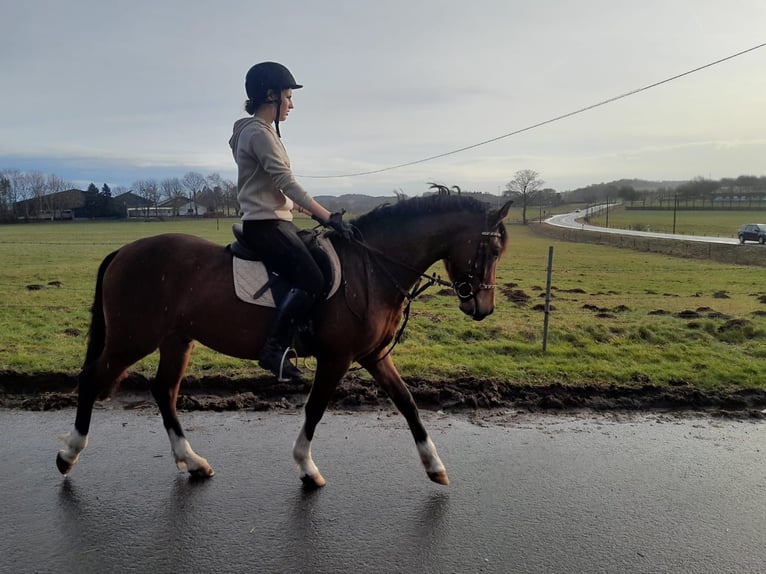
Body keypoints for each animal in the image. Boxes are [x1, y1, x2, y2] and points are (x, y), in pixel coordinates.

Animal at [57, 196, 512, 488]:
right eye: (491, 249)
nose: (483, 307)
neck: (370, 266)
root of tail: (123, 252)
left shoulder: (373, 356)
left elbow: (407, 403)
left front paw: (435, 466)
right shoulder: (338, 358)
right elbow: (315, 409)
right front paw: (307, 469)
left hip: (176, 340)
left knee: (164, 391)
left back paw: (193, 462)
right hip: (132, 339)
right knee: (91, 379)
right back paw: (69, 454)